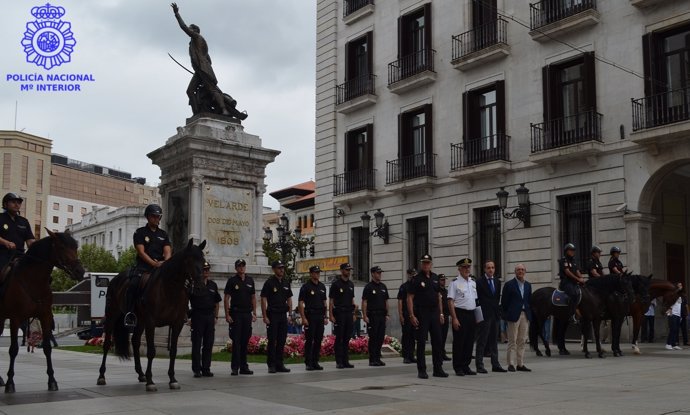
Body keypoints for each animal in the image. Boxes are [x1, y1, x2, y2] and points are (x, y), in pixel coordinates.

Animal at [0, 231, 84, 394]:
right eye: (62, 247)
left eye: (75, 247)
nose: (80, 271)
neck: (33, 281)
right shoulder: (15, 319)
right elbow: (13, 349)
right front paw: (10, 382)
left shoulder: (45, 317)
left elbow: (47, 348)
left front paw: (52, 380)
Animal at [97, 239, 204, 392]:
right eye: (190, 260)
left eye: (203, 261)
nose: (201, 286)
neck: (170, 289)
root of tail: (116, 278)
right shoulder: (151, 323)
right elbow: (151, 351)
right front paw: (150, 381)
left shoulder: (176, 324)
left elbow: (173, 351)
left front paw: (172, 379)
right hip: (112, 315)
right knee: (107, 344)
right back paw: (101, 376)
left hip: (140, 321)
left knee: (135, 341)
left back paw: (140, 373)